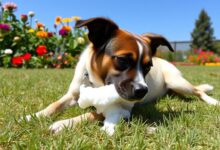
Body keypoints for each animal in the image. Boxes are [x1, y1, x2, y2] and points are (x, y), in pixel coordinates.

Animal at [23, 17, 219, 134]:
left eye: (148, 66)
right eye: (123, 60)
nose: (143, 91)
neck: (96, 84)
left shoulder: (121, 107)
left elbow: (92, 114)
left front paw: (63, 124)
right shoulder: (73, 94)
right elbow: (54, 105)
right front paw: (33, 116)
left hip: (176, 81)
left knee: (198, 91)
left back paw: (213, 101)